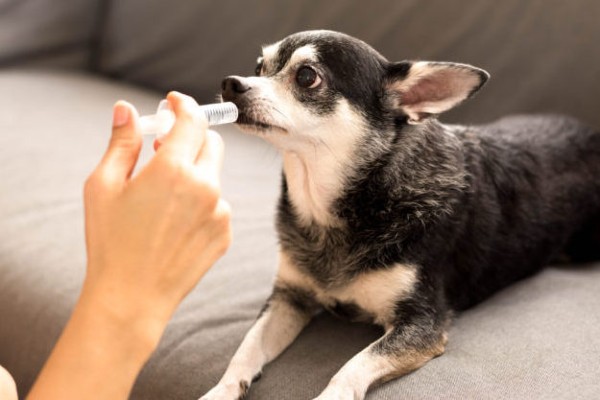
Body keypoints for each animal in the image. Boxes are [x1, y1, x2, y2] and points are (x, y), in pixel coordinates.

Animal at [202, 29, 600, 398]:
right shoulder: (289, 298)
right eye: (259, 67)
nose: (231, 83)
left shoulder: (421, 324)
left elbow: (352, 366)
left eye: (306, 76)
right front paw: (220, 389)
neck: (335, 209)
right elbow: (247, 348)